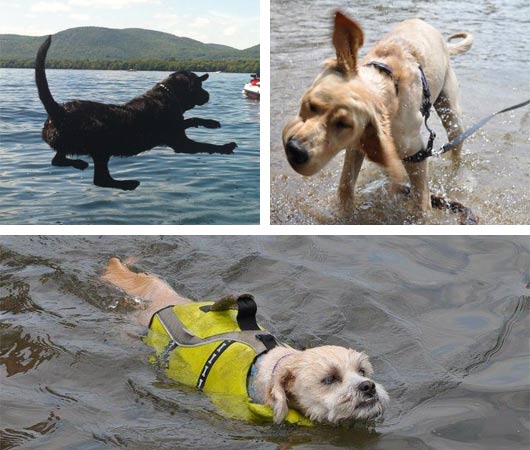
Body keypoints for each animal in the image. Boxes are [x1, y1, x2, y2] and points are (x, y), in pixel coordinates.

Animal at [34, 35, 235, 189]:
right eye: (199, 86)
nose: (208, 95)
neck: (168, 94)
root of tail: (59, 112)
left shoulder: (179, 126)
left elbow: (193, 119)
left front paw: (212, 123)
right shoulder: (181, 143)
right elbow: (206, 145)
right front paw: (225, 147)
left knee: (57, 160)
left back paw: (79, 163)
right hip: (102, 142)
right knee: (100, 179)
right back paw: (128, 184)